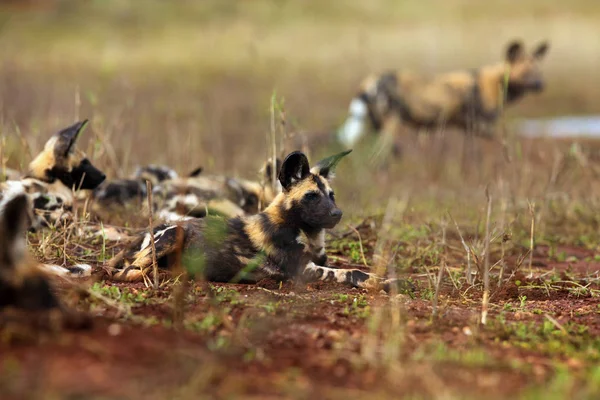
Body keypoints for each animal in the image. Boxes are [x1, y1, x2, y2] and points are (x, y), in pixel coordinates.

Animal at [108, 149, 408, 290]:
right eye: (311, 196)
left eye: (331, 195)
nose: (337, 214)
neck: (307, 233)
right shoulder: (306, 271)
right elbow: (354, 272)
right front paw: (381, 283)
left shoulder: (320, 262)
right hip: (170, 236)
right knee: (127, 272)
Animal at [338, 38, 548, 148]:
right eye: (526, 73)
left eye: (539, 71)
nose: (540, 85)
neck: (496, 82)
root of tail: (371, 79)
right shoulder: (483, 128)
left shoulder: (469, 130)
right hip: (391, 126)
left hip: (379, 126)